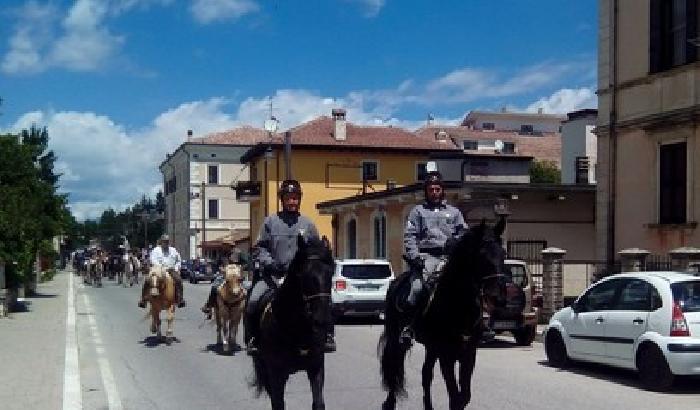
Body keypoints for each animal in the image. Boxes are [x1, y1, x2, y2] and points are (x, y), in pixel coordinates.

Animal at [250, 234, 334, 410]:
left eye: (330, 273)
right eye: (305, 274)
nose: (322, 319)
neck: (297, 329)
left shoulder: (316, 367)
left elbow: (318, 403)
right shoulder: (276, 373)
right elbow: (278, 403)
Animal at [380, 219, 506, 410]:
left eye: (503, 253)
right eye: (482, 255)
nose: (497, 297)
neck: (458, 305)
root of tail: (397, 281)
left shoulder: (468, 354)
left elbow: (463, 397)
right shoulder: (446, 355)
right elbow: (455, 396)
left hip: (431, 347)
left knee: (426, 374)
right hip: (397, 338)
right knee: (394, 364)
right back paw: (389, 402)